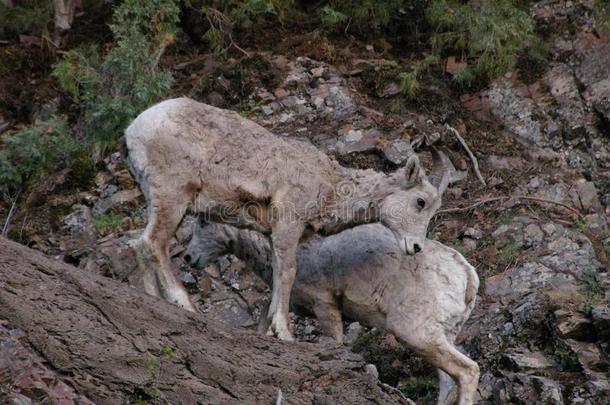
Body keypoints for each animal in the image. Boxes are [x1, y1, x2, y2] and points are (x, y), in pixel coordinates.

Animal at [124, 96, 446, 340]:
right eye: (420, 202)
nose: (416, 247)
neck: (329, 186)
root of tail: (134, 129)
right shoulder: (287, 226)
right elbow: (287, 274)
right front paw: (286, 333)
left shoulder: (275, 235)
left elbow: (278, 277)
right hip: (172, 197)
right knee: (153, 243)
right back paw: (184, 304)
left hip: (156, 200)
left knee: (138, 244)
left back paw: (154, 299)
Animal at [183, 221, 478, 404]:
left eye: (204, 222)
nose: (188, 257)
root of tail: (465, 273)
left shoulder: (324, 306)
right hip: (442, 337)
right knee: (448, 383)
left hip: (417, 333)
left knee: (467, 371)